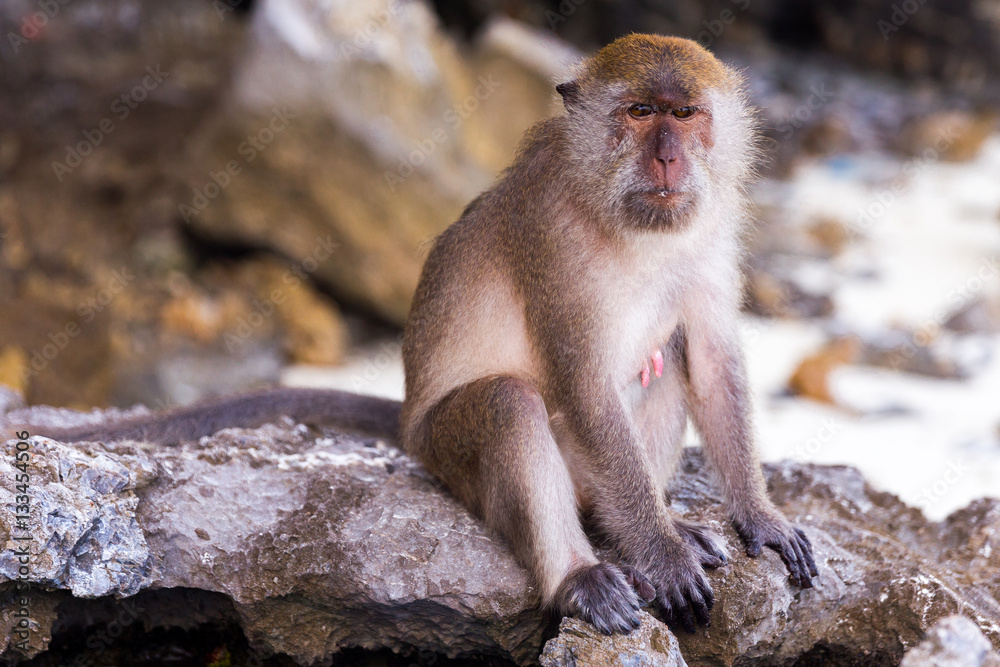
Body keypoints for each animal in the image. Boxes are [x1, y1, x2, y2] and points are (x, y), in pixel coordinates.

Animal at [29, 34, 817, 636]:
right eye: (639, 111)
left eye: (686, 113)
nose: (666, 156)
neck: (629, 217)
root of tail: (409, 421)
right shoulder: (553, 243)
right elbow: (584, 384)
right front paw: (665, 555)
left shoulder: (709, 230)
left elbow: (709, 356)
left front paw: (757, 516)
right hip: (446, 452)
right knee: (508, 404)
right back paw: (584, 574)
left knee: (664, 355)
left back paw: (624, 523)